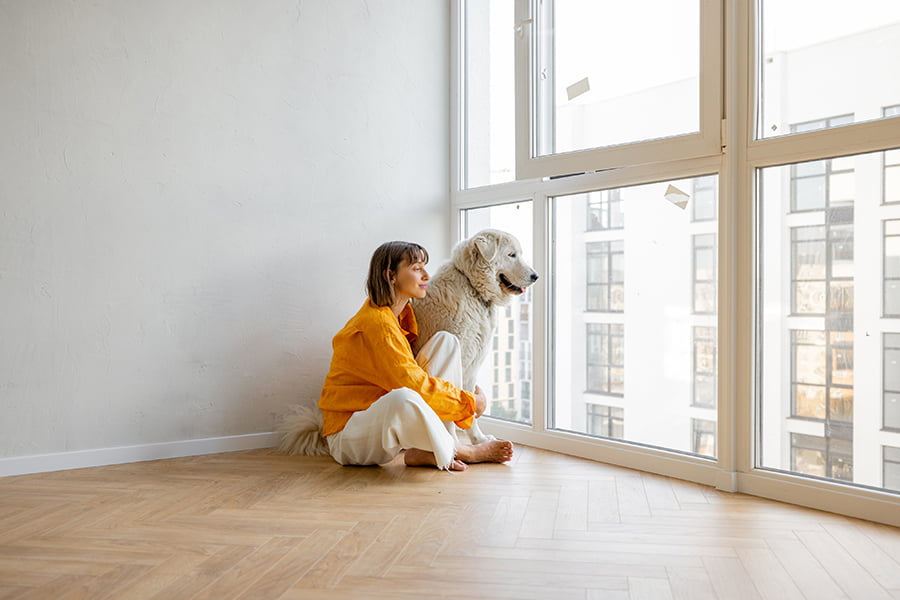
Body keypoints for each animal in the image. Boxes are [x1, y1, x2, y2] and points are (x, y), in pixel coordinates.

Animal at [412, 230, 536, 446]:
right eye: (512, 255)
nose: (535, 276)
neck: (472, 287)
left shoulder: (471, 366)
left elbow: (468, 404)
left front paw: (478, 440)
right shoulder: (458, 358)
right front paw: (453, 443)